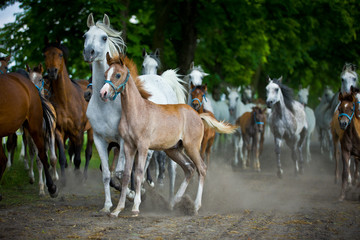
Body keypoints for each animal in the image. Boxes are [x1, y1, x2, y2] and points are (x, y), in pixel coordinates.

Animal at [0, 72, 57, 200]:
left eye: (40, 79)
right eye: (29, 77)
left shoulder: (50, 134)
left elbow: (52, 158)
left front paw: (54, 179)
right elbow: (38, 160)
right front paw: (41, 187)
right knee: (33, 154)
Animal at [43, 38, 93, 183]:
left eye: (60, 54)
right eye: (45, 55)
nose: (52, 71)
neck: (66, 100)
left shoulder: (79, 132)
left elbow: (78, 159)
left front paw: (78, 181)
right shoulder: (59, 131)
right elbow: (62, 157)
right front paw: (64, 181)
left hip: (91, 131)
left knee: (88, 153)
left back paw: (84, 177)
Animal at [83, 13, 187, 213]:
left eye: (104, 37)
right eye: (85, 35)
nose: (89, 52)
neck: (106, 106)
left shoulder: (124, 141)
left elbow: (121, 172)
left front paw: (133, 195)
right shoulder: (101, 139)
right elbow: (107, 173)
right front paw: (107, 206)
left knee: (172, 168)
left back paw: (171, 200)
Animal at [101, 53, 236, 218]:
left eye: (118, 75)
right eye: (105, 73)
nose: (103, 93)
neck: (137, 111)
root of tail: (198, 115)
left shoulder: (143, 146)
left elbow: (139, 173)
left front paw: (135, 208)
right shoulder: (128, 146)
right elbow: (126, 175)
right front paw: (117, 210)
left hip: (191, 147)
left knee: (201, 168)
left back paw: (195, 206)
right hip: (174, 150)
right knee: (189, 168)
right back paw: (175, 201)